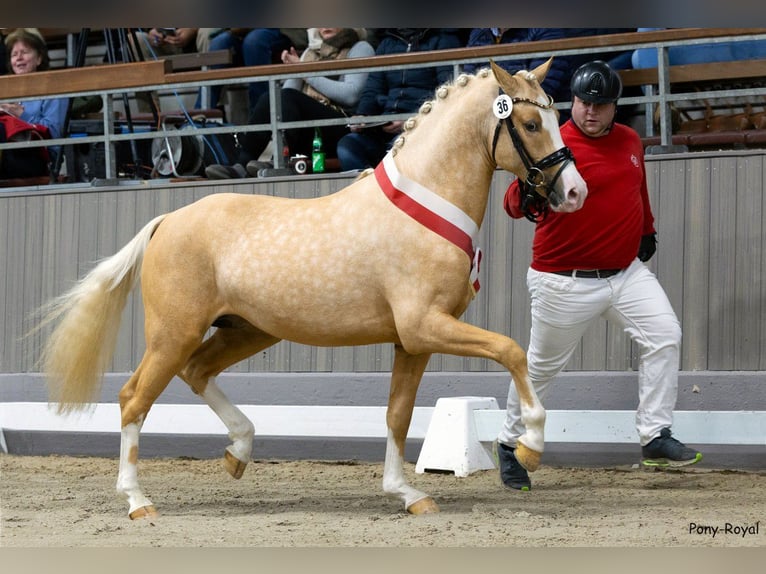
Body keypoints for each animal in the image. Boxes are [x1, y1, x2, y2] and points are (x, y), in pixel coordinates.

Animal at [40, 59, 588, 520]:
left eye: (556, 118)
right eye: (532, 124)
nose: (574, 193)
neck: (425, 204)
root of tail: (166, 221)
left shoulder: (411, 342)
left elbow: (398, 415)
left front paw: (407, 493)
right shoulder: (426, 326)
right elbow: (511, 350)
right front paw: (531, 446)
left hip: (247, 331)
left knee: (197, 372)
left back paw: (238, 453)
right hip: (173, 334)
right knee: (134, 398)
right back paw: (138, 501)